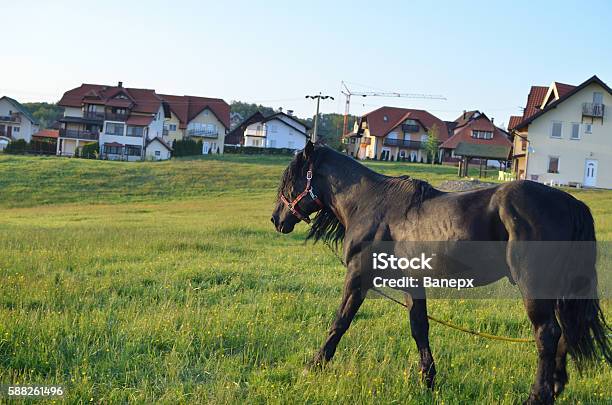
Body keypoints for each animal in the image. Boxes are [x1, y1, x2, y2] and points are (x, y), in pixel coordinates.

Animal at [274, 140, 612, 402]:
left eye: (289, 180)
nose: (276, 219)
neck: (370, 204)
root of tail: (570, 203)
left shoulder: (358, 278)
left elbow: (340, 322)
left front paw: (314, 365)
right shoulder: (413, 284)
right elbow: (419, 328)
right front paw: (428, 380)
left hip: (535, 288)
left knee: (547, 334)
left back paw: (538, 396)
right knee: (565, 333)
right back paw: (555, 387)